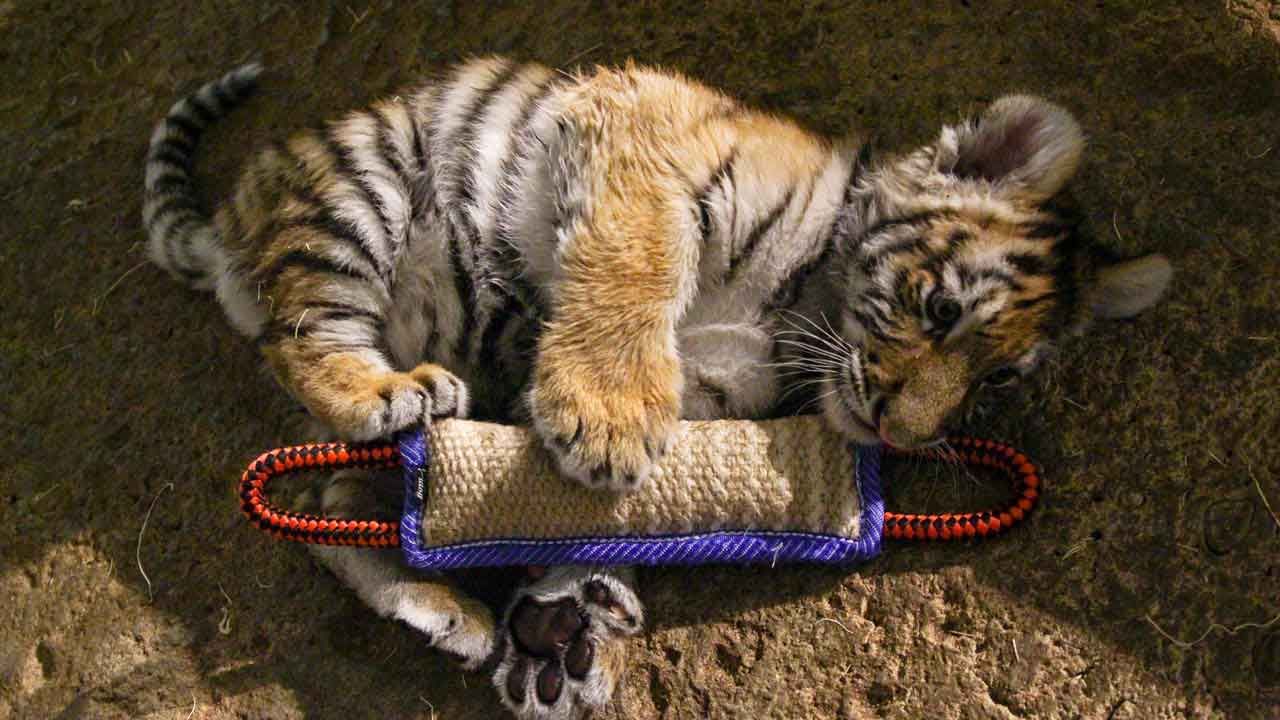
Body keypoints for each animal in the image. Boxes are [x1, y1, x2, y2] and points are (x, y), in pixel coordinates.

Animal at [142, 57, 1171, 719]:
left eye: (995, 381)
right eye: (941, 307)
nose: (900, 430)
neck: (805, 310)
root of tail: (232, 213)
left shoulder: (716, 391)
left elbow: (592, 512)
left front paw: (565, 611)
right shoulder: (638, 137)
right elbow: (636, 264)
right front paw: (608, 417)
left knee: (332, 504)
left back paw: (465, 614)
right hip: (361, 194)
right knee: (306, 336)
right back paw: (382, 394)